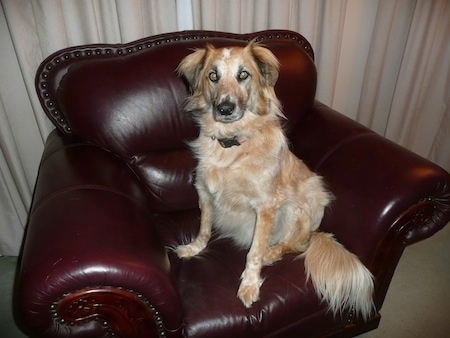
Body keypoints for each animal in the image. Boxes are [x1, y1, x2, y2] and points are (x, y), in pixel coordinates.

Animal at [177, 42, 376, 320]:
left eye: (243, 75)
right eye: (213, 76)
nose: (225, 109)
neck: (233, 146)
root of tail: (316, 231)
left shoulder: (266, 207)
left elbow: (254, 252)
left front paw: (249, 285)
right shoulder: (204, 192)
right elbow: (204, 228)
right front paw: (194, 248)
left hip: (301, 204)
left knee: (295, 244)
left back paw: (271, 254)